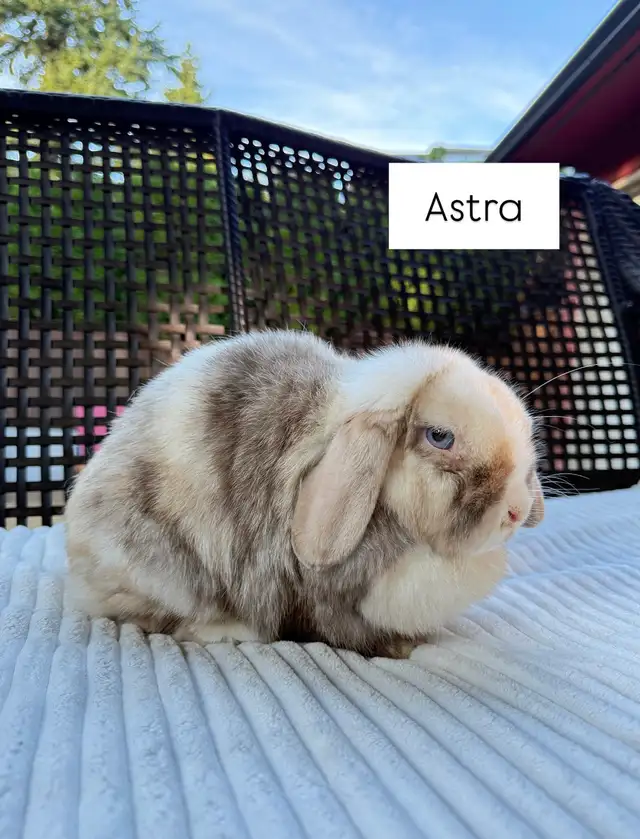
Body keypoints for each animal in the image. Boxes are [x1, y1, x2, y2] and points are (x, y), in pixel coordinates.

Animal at [64, 329, 544, 658]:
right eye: (440, 436)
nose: (517, 512)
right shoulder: (335, 598)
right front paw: (406, 648)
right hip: (163, 572)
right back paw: (228, 629)